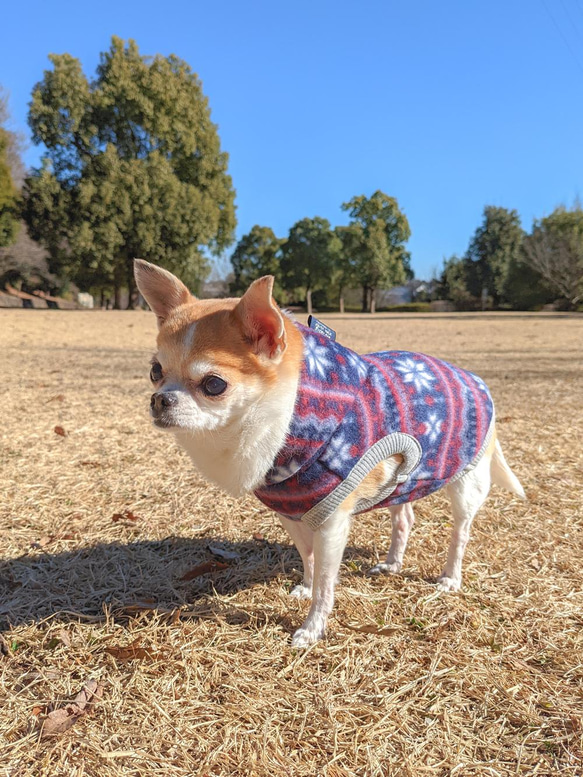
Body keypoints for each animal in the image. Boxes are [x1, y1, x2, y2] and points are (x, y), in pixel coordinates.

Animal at [136, 260, 524, 648]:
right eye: (155, 371)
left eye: (214, 384)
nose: (160, 399)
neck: (289, 413)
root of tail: (475, 378)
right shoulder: (291, 513)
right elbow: (308, 560)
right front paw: (306, 589)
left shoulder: (332, 521)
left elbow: (326, 581)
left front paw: (312, 628)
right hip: (402, 480)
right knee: (404, 518)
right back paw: (392, 563)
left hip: (466, 484)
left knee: (460, 532)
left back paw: (450, 577)